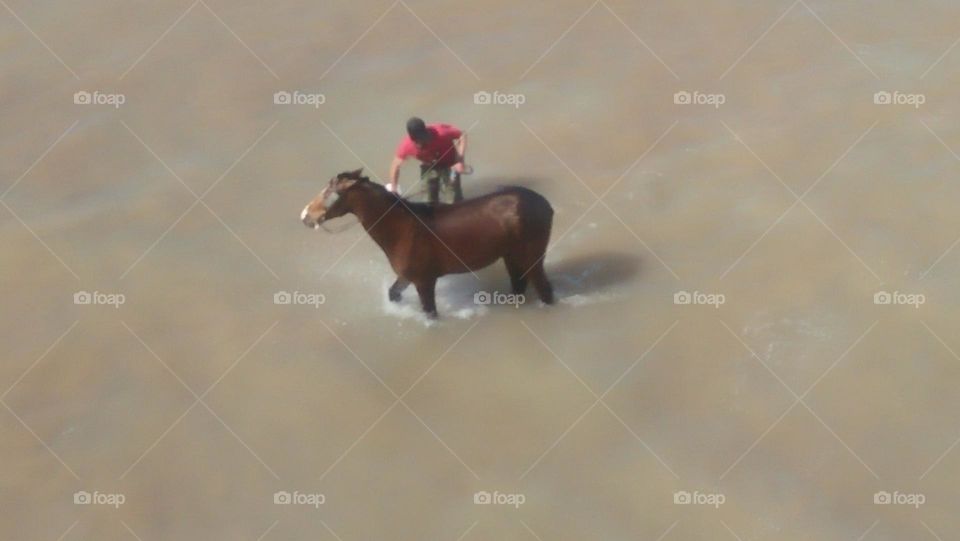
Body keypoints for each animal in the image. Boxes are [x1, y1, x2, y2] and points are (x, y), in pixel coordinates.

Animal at [300, 169, 555, 318]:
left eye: (328, 192)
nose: (305, 216)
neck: (402, 229)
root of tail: (544, 203)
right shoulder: (406, 277)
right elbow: (393, 294)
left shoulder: (424, 282)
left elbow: (430, 313)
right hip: (511, 257)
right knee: (519, 286)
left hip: (531, 257)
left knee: (544, 290)